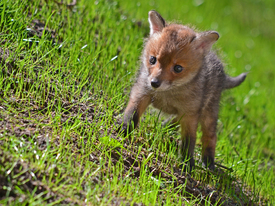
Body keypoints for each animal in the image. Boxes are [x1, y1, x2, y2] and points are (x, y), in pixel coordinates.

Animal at [122, 10, 247, 171]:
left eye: (178, 68)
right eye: (152, 60)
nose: (154, 83)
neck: (168, 94)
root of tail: (222, 71)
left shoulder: (190, 114)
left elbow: (189, 141)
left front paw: (187, 163)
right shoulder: (142, 92)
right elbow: (132, 114)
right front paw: (122, 129)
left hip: (209, 112)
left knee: (210, 136)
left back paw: (208, 162)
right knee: (175, 120)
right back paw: (165, 127)